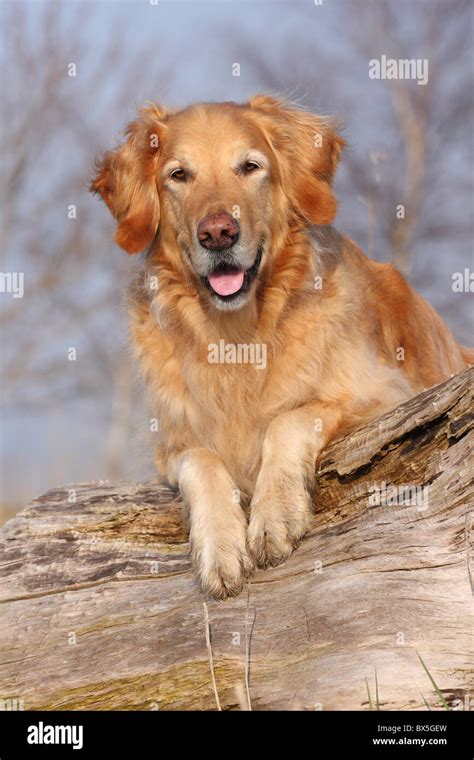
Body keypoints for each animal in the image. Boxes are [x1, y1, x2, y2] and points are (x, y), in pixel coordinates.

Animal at [90, 96, 474, 600]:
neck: (237, 335)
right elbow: (201, 460)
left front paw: (274, 514)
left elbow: (288, 419)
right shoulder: (171, 445)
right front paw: (219, 547)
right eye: (179, 174)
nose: (218, 233)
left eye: (250, 166)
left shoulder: (392, 399)